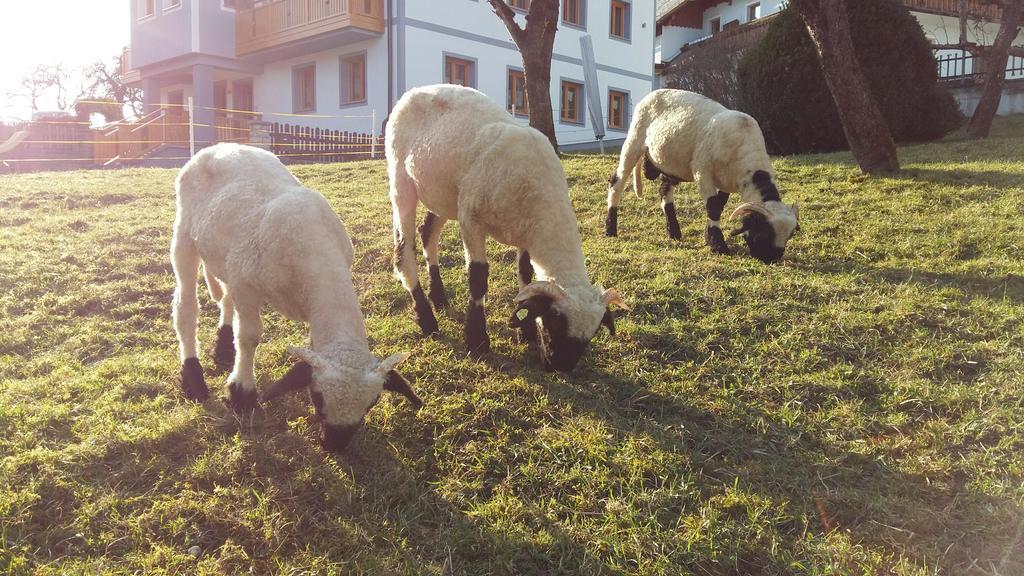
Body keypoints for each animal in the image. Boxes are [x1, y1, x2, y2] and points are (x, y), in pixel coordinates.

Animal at [172, 142, 419, 448]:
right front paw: (242, 393)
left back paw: (223, 347)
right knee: (186, 306)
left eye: (371, 403)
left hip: (222, 253)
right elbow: (250, 337)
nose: (335, 446)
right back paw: (193, 376)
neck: (318, 260)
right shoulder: (246, 284)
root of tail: (218, 146)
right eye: (318, 397)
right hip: (184, 236)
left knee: (225, 296)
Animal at [385, 85, 626, 373]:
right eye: (556, 320)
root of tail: (417, 89)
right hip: (401, 180)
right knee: (403, 253)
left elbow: (525, 274)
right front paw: (476, 340)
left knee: (427, 234)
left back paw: (439, 297)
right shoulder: (471, 219)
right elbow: (478, 277)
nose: (560, 367)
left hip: (443, 195)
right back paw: (426, 319)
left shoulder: (525, 233)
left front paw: (527, 333)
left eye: (593, 333)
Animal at [606, 88, 798, 264]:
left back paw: (674, 232)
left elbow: (719, 205)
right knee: (617, 183)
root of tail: (654, 92)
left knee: (664, 192)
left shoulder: (724, 182)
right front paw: (718, 245)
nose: (771, 259)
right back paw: (610, 230)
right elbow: (713, 207)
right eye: (764, 232)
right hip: (634, 140)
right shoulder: (702, 171)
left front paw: (710, 237)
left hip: (670, 163)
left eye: (789, 236)